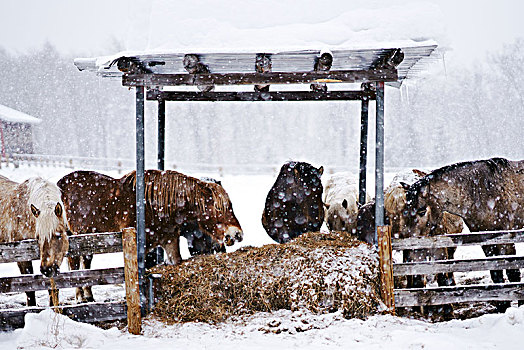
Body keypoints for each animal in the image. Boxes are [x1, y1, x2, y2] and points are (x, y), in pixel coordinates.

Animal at [0, 176, 70, 304]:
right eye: (38, 237)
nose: (46, 270)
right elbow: (30, 289)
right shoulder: (22, 257)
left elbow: (52, 290)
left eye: (58, 235)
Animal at [57, 170, 244, 304]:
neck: (155, 207)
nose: (237, 234)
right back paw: (80, 297)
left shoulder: (169, 241)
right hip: (73, 239)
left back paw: (88, 295)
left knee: (86, 264)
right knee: (74, 265)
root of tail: (60, 184)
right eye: (219, 208)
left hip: (88, 239)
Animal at [402, 157, 524, 314]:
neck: (484, 191)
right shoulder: (486, 240)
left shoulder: (506, 239)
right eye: (405, 211)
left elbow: (513, 272)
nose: (411, 251)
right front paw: (503, 306)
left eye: (422, 211)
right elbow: (496, 273)